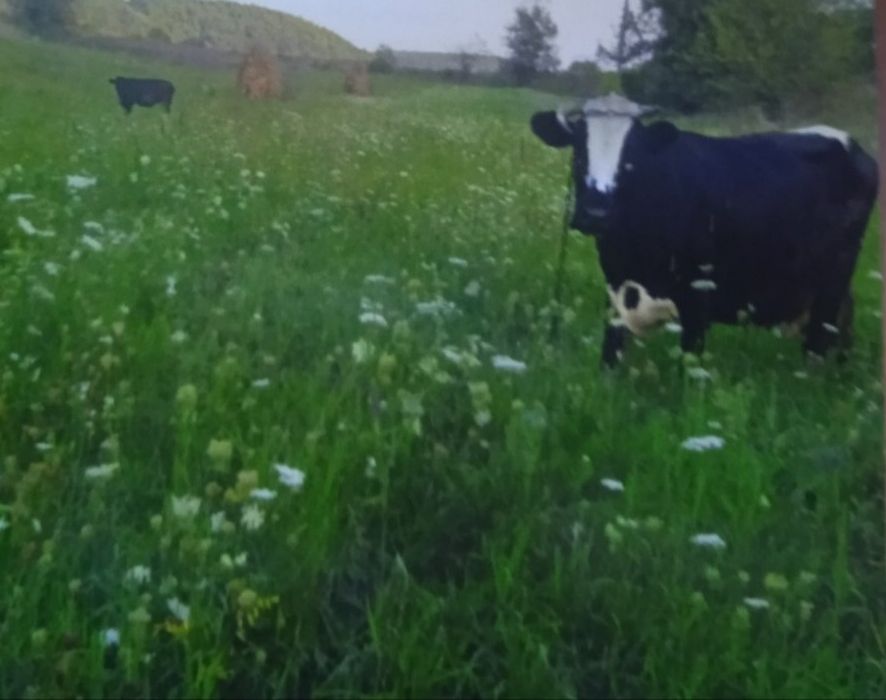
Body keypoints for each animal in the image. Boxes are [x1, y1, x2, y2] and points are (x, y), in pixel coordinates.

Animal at [530, 93, 879, 367]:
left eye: (632, 156)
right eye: (578, 151)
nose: (595, 213)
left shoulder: (699, 298)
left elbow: (688, 366)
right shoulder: (616, 289)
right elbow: (610, 357)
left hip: (831, 284)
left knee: (818, 342)